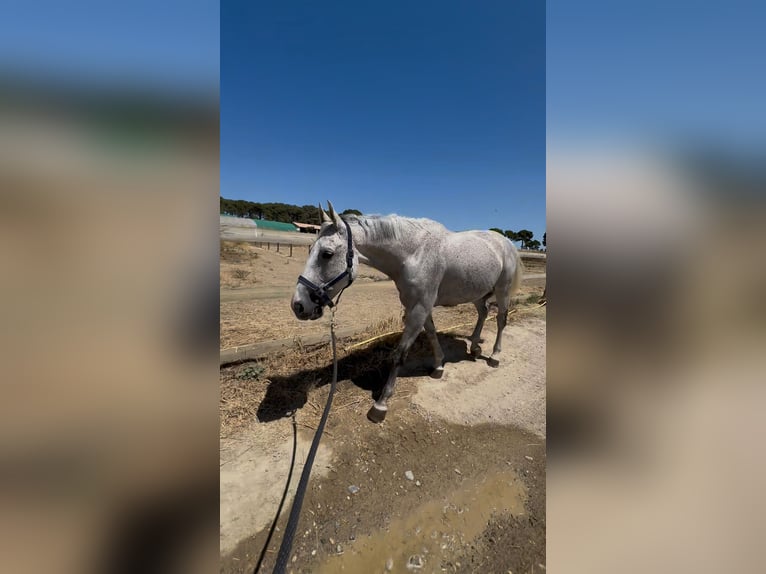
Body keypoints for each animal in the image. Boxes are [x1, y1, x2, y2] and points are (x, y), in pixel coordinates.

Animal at [291, 202, 523, 423]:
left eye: (327, 254)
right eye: (311, 249)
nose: (298, 305)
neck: (414, 253)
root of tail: (506, 243)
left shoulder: (419, 308)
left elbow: (399, 354)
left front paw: (381, 405)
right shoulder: (419, 307)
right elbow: (431, 334)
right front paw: (438, 366)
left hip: (502, 292)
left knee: (501, 320)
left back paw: (494, 356)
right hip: (476, 293)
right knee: (483, 313)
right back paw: (474, 347)